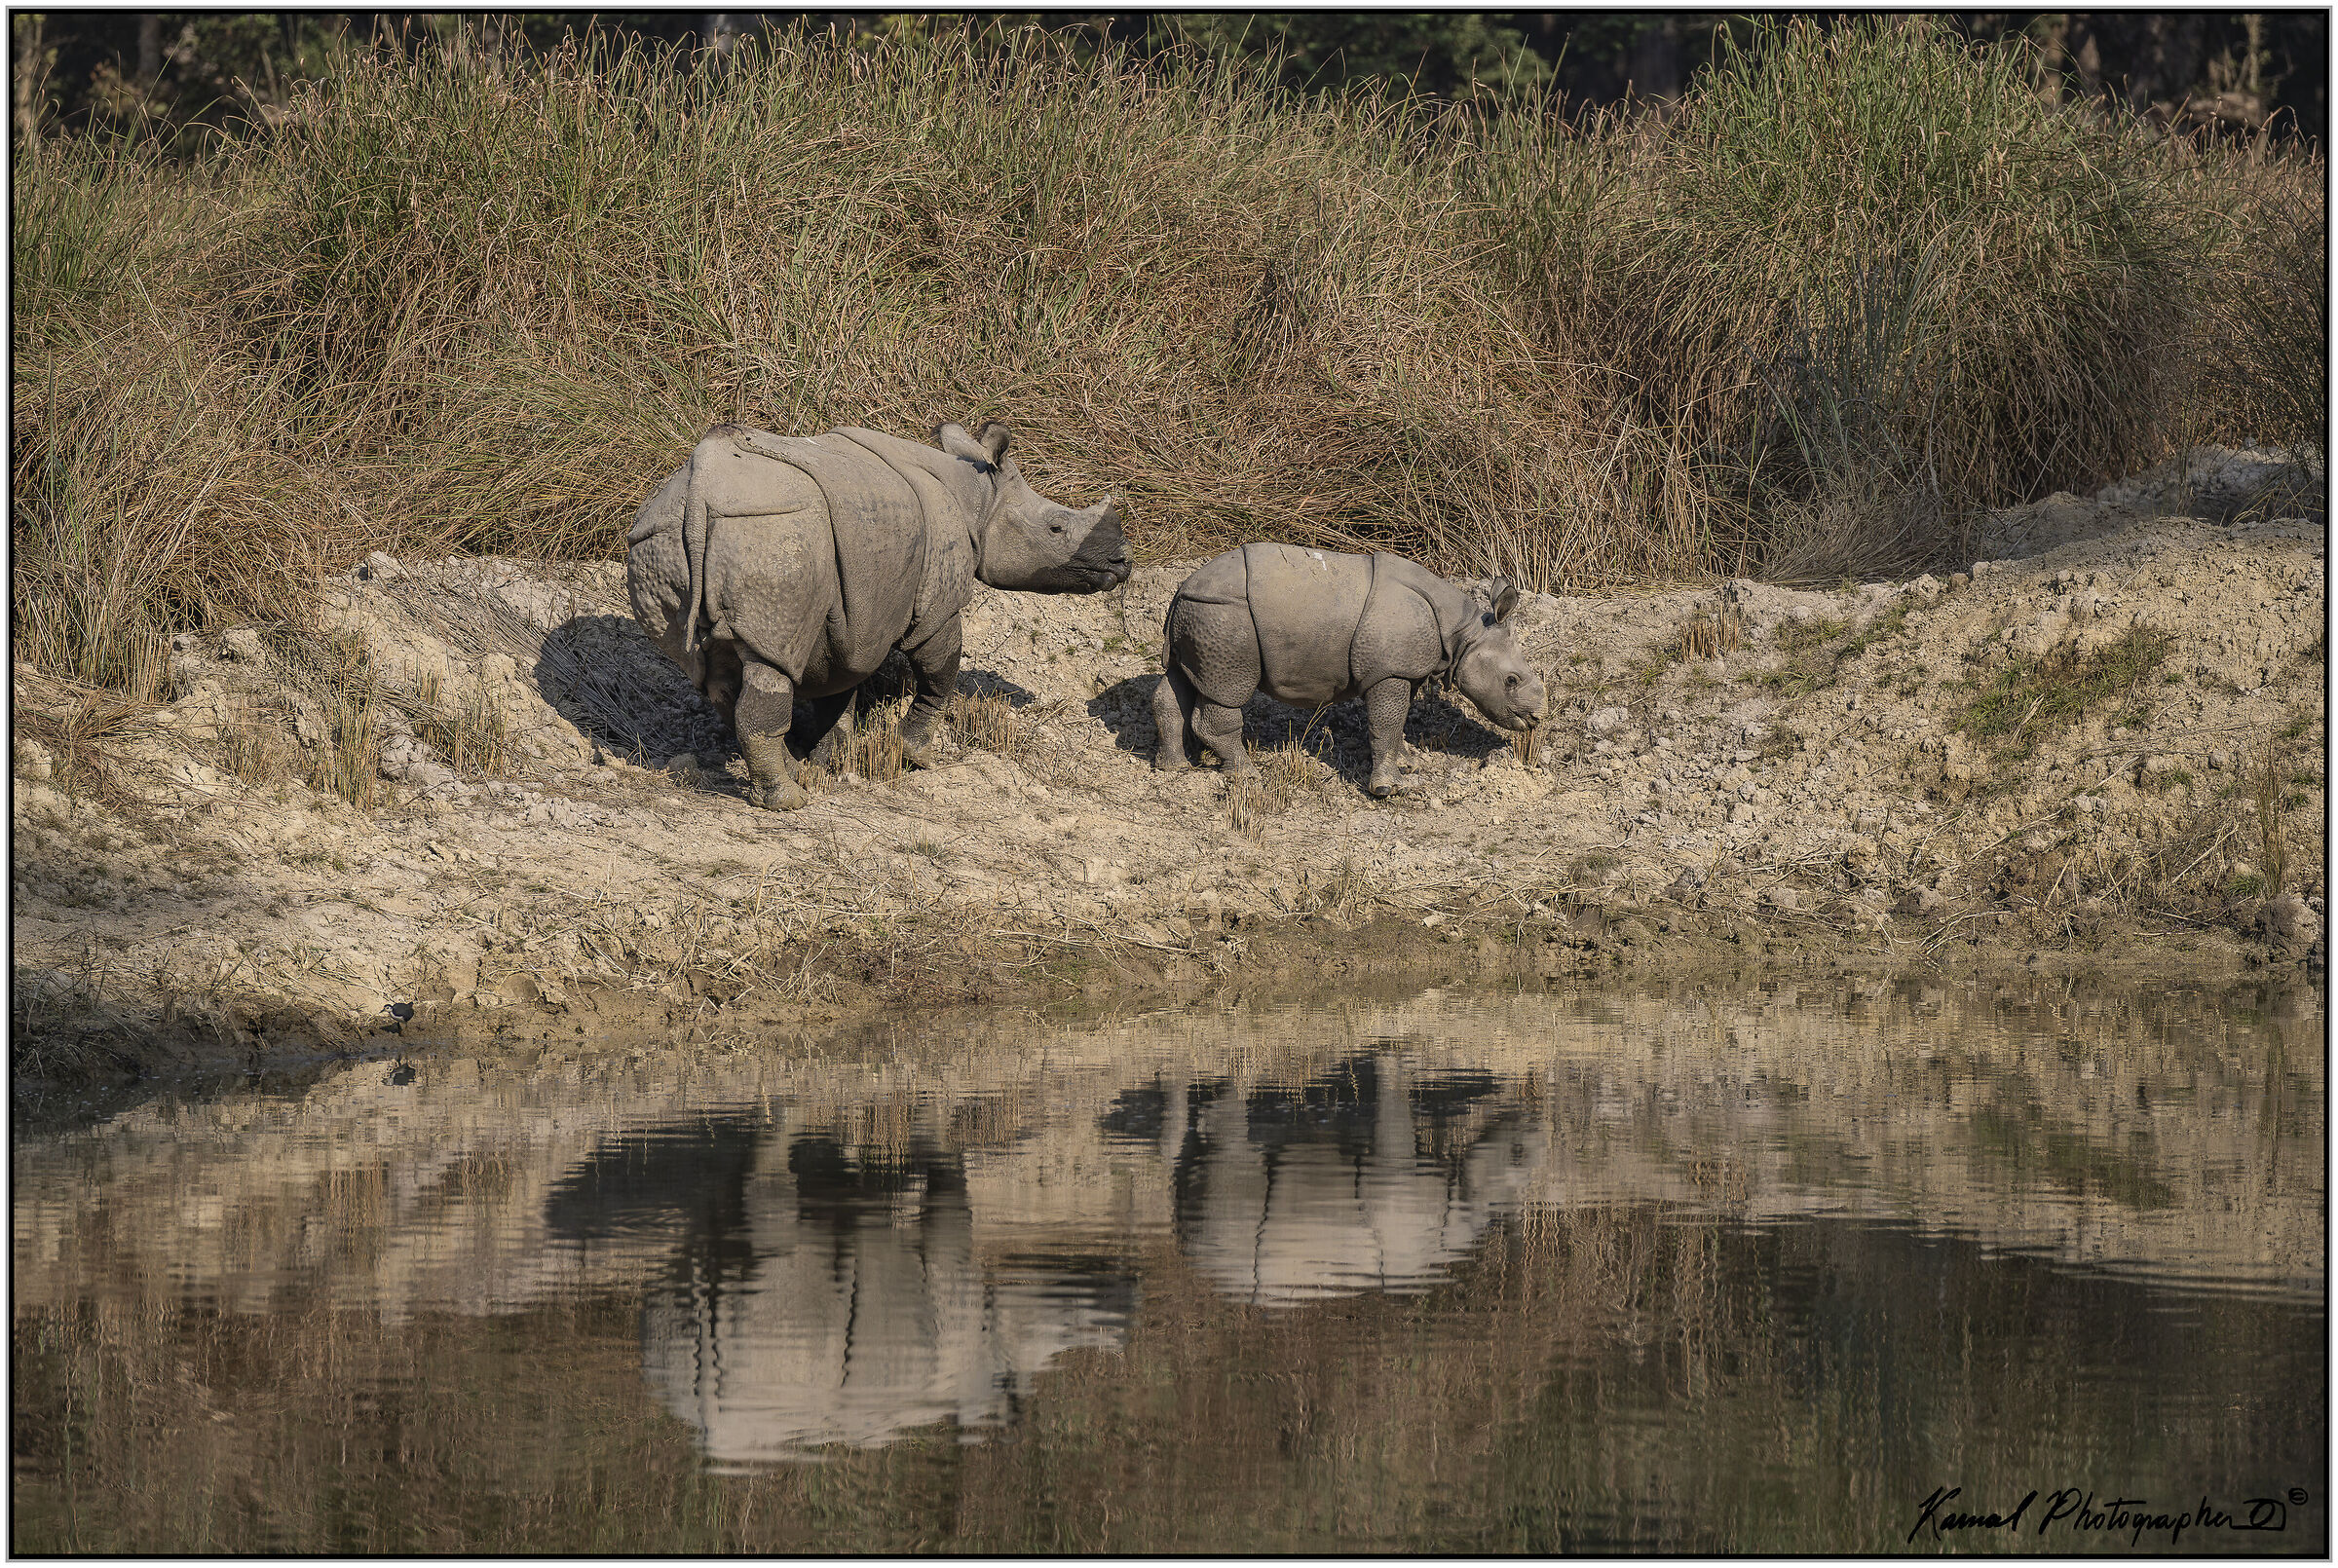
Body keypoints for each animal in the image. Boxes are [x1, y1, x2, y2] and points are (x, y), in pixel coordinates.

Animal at [627, 421, 1129, 809]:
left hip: (659, 537)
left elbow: (840, 682)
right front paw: (914, 756)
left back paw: (792, 774)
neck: (977, 496)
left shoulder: (852, 611)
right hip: (773, 534)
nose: (1122, 561)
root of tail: (700, 484)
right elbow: (940, 672)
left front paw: (830, 759)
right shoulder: (936, 606)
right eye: (1056, 527)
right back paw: (788, 801)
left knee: (720, 674)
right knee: (771, 661)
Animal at [1153, 542, 1545, 797]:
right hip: (1225, 616)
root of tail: (1181, 588)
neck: (1464, 633)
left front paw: (1408, 764)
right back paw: (1247, 776)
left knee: (1179, 682)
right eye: (1511, 680)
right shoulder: (1391, 671)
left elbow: (1398, 720)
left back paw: (1174, 768)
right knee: (1228, 691)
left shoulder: (1403, 668)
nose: (1537, 719)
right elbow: (1386, 723)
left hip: (1201, 616)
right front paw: (1389, 789)